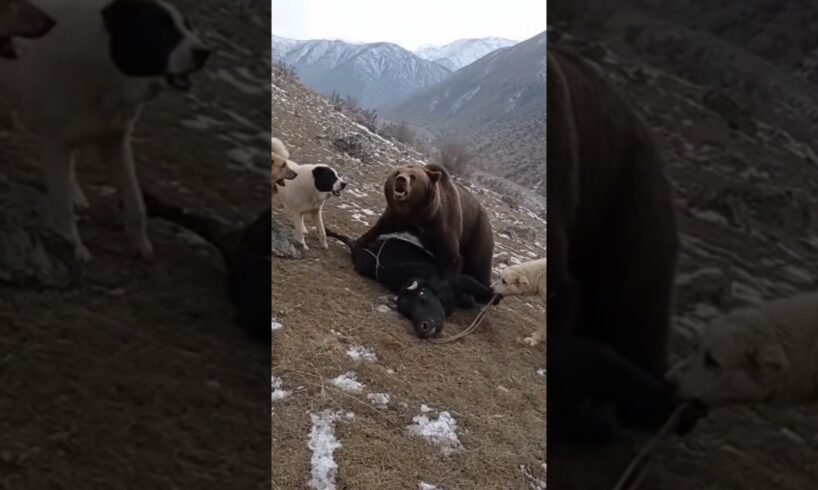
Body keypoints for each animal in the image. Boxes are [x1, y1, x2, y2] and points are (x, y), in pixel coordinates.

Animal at [355, 163, 495, 286]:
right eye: (397, 172)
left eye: (413, 176)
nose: (401, 179)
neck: (418, 213)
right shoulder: (397, 216)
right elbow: (380, 226)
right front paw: (360, 241)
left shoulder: (444, 223)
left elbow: (452, 257)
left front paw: (447, 282)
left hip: (478, 233)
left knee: (479, 264)